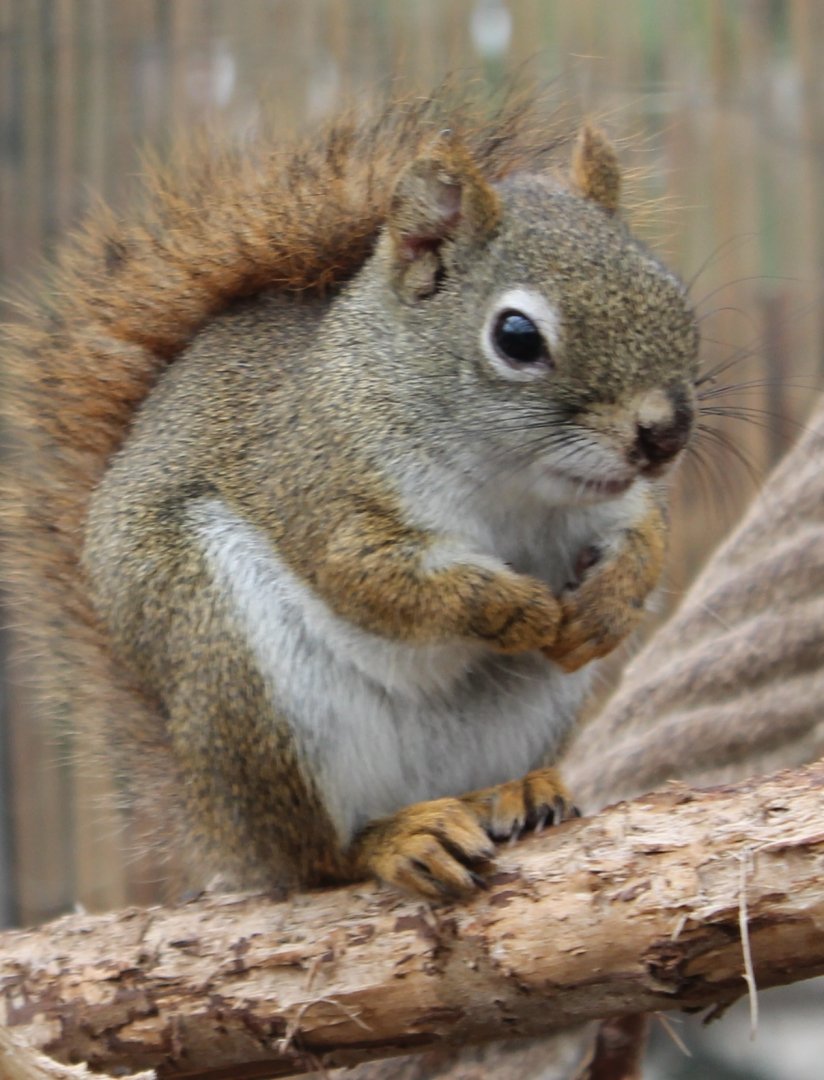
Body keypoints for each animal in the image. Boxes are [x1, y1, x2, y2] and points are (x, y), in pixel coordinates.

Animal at [3, 91, 698, 901]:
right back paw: (394, 838)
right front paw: (512, 608)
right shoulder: (318, 482)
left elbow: (648, 535)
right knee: (317, 862)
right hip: (239, 676)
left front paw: (609, 604)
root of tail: (222, 830)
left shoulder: (615, 502)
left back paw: (512, 791)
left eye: (672, 293)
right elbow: (374, 576)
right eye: (517, 336)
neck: (515, 485)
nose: (665, 435)